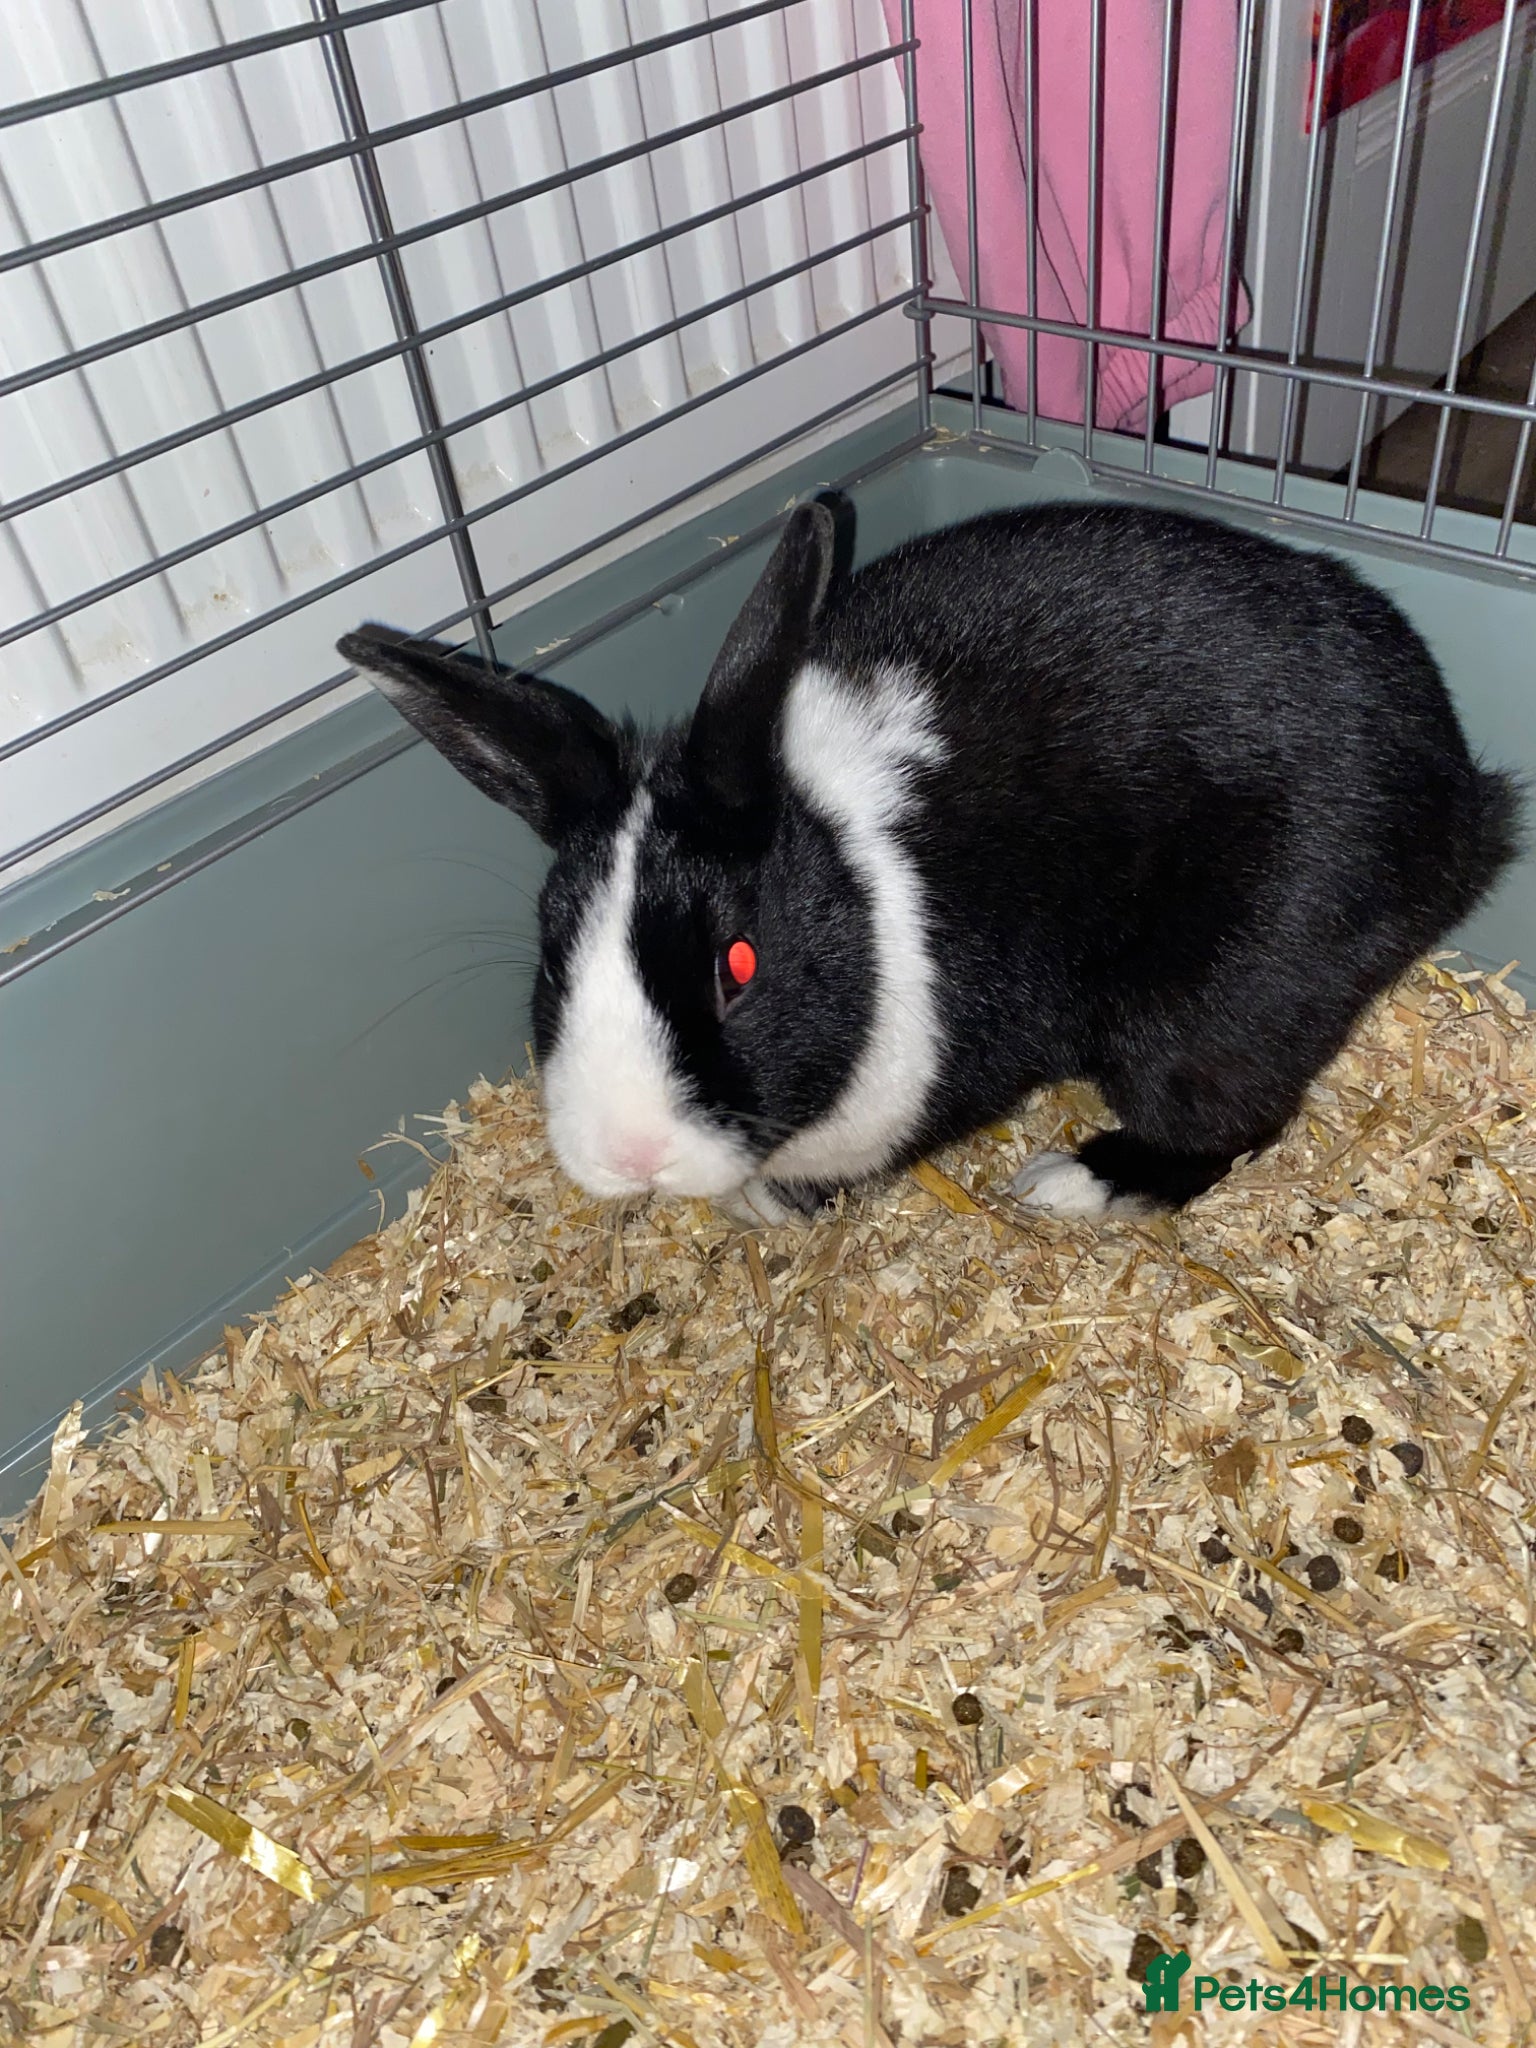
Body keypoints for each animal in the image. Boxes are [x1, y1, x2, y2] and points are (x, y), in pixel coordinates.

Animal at [337, 494, 1519, 1227]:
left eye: (740, 965)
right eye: (551, 962)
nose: (631, 1155)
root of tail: (1462, 799)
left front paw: (769, 1203)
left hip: (1220, 999)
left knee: (1226, 1114)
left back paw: (1072, 1184)